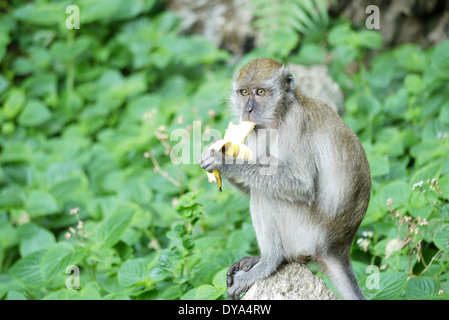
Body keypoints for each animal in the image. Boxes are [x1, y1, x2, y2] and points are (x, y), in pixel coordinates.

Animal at [200, 57, 372, 300]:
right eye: (244, 92)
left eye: (260, 92)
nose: (248, 110)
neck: (281, 112)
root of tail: (337, 247)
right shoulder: (257, 131)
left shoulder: (295, 124)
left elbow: (302, 186)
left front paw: (224, 161)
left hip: (305, 234)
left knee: (266, 195)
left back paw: (270, 261)